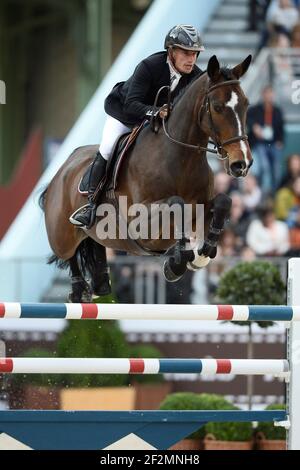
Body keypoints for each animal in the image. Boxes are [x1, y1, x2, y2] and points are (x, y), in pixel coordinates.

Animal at [38, 55, 252, 302]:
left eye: (246, 104)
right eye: (217, 107)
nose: (241, 163)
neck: (180, 160)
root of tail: (61, 170)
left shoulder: (201, 209)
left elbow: (223, 202)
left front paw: (201, 255)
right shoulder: (140, 225)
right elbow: (176, 204)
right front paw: (177, 263)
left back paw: (100, 283)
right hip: (61, 235)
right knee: (69, 253)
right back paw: (78, 289)